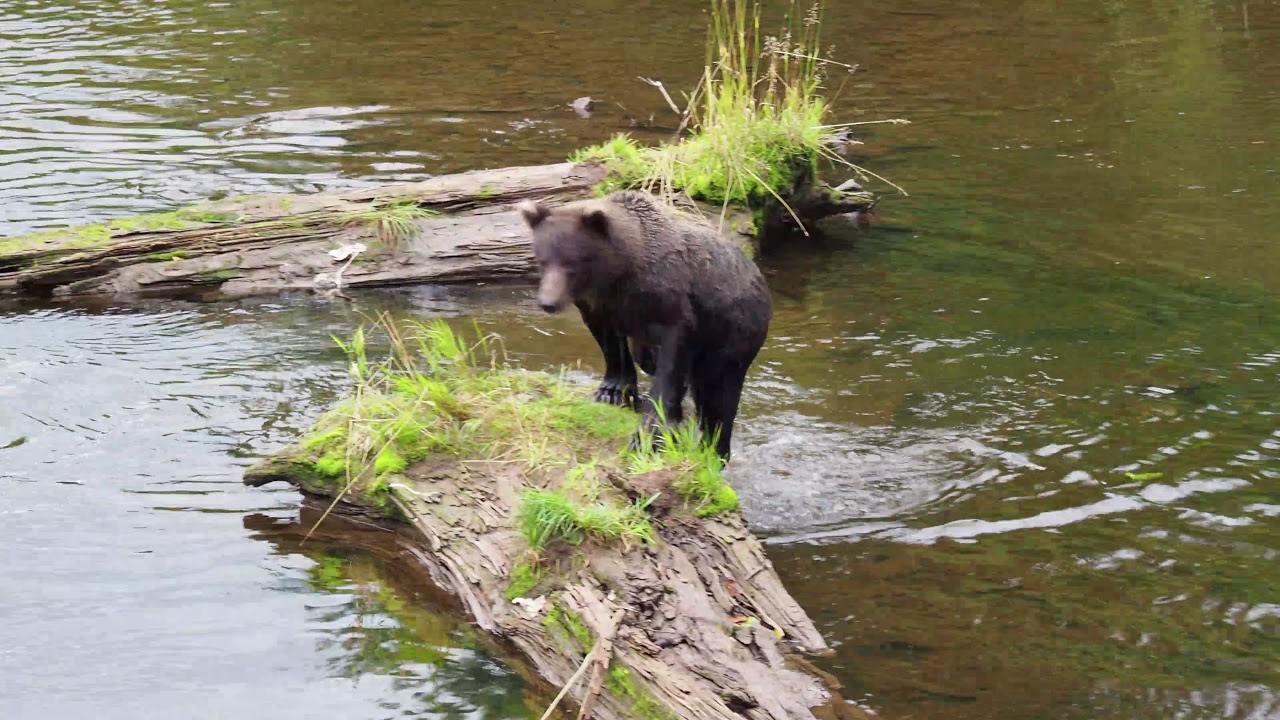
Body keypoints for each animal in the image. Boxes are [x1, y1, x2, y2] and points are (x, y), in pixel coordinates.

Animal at [515, 190, 772, 462]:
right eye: (542, 261)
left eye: (571, 263)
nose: (548, 302)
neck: (619, 273)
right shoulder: (600, 305)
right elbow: (610, 344)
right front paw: (612, 391)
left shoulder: (672, 305)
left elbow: (672, 365)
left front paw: (647, 435)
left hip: (732, 335)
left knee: (719, 395)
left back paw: (714, 450)